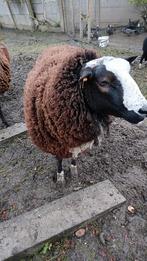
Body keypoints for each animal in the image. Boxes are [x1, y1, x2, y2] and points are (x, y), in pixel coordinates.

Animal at [23, 44, 147, 182]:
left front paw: (74, 169)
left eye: (129, 74)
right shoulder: (55, 144)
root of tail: (57, 45)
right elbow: (59, 159)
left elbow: (74, 156)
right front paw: (60, 176)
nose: (144, 110)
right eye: (103, 82)